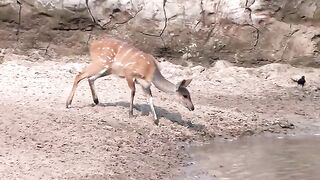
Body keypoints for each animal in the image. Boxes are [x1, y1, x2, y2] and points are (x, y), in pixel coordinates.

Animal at [66, 36, 194, 124]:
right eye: (185, 95)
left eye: (189, 94)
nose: (192, 107)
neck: (152, 72)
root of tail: (92, 45)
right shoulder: (129, 74)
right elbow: (133, 92)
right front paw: (131, 114)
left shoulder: (145, 84)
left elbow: (150, 99)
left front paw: (156, 120)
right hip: (101, 62)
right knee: (79, 75)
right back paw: (68, 103)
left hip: (108, 69)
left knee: (90, 78)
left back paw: (96, 101)